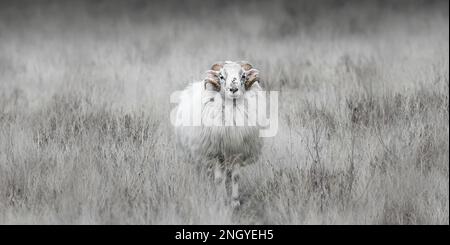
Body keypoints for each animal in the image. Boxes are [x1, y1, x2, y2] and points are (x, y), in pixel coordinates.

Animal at [173, 60, 264, 207]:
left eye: (243, 76)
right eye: (221, 76)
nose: (233, 89)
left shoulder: (236, 150)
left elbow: (235, 177)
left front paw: (235, 201)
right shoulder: (215, 153)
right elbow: (219, 179)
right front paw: (222, 200)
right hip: (197, 154)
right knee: (204, 172)